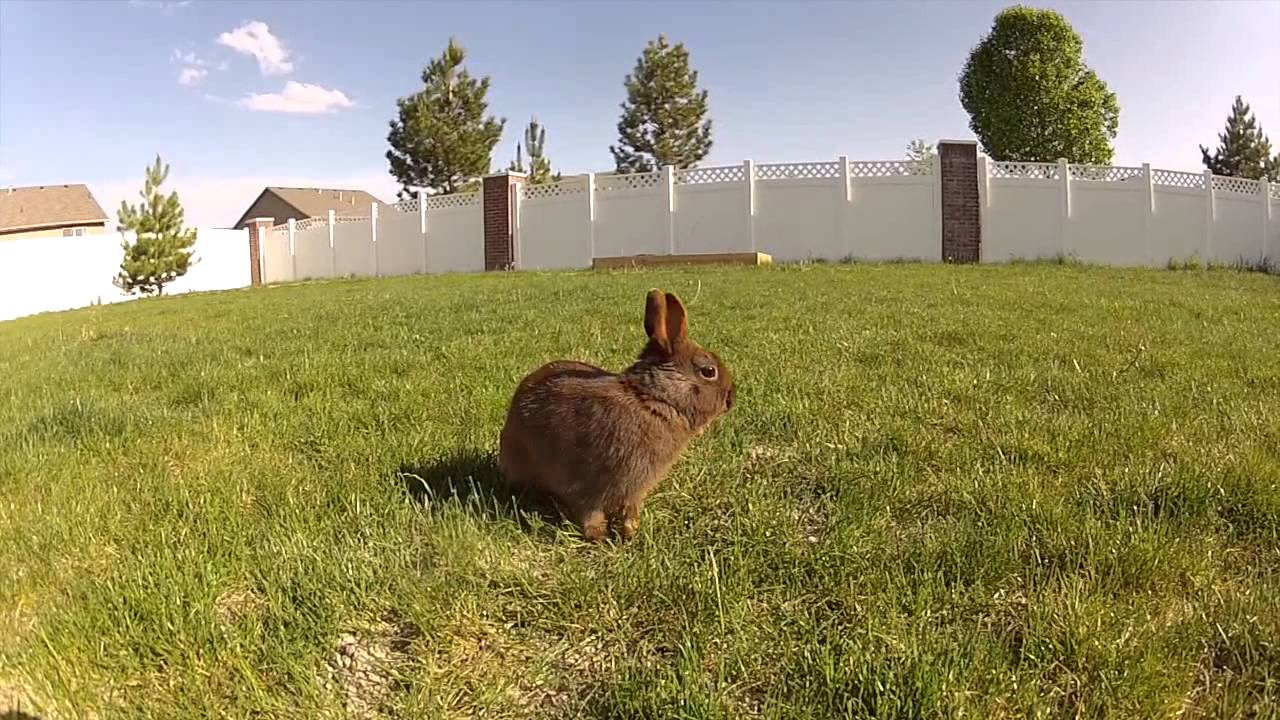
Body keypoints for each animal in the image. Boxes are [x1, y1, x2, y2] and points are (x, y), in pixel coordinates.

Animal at [498, 288, 736, 542]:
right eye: (708, 371)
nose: (731, 398)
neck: (652, 400)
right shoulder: (587, 484)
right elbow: (590, 512)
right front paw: (600, 537)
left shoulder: (634, 489)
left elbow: (630, 509)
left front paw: (629, 533)